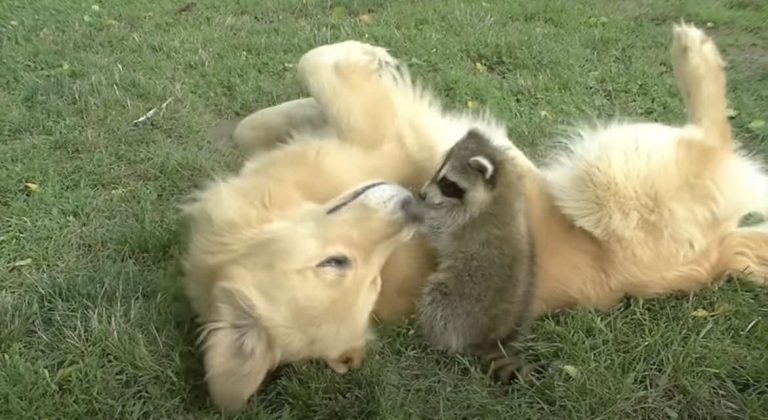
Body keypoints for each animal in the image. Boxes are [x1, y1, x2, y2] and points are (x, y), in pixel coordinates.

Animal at [415, 129, 538, 383]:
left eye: (447, 183)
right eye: (438, 172)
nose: (421, 194)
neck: (498, 191)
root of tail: (491, 338)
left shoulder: (461, 222)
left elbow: (435, 226)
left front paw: (416, 207)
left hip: (462, 298)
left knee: (436, 301)